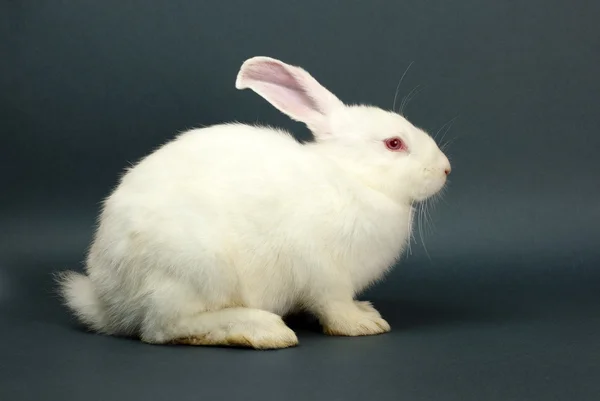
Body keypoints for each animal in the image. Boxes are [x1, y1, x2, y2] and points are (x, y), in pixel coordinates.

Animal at [57, 55, 450, 346]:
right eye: (394, 143)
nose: (446, 169)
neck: (352, 178)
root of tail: (107, 300)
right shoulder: (326, 275)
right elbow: (334, 307)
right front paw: (363, 325)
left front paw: (368, 312)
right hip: (195, 271)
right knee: (163, 328)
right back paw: (262, 331)